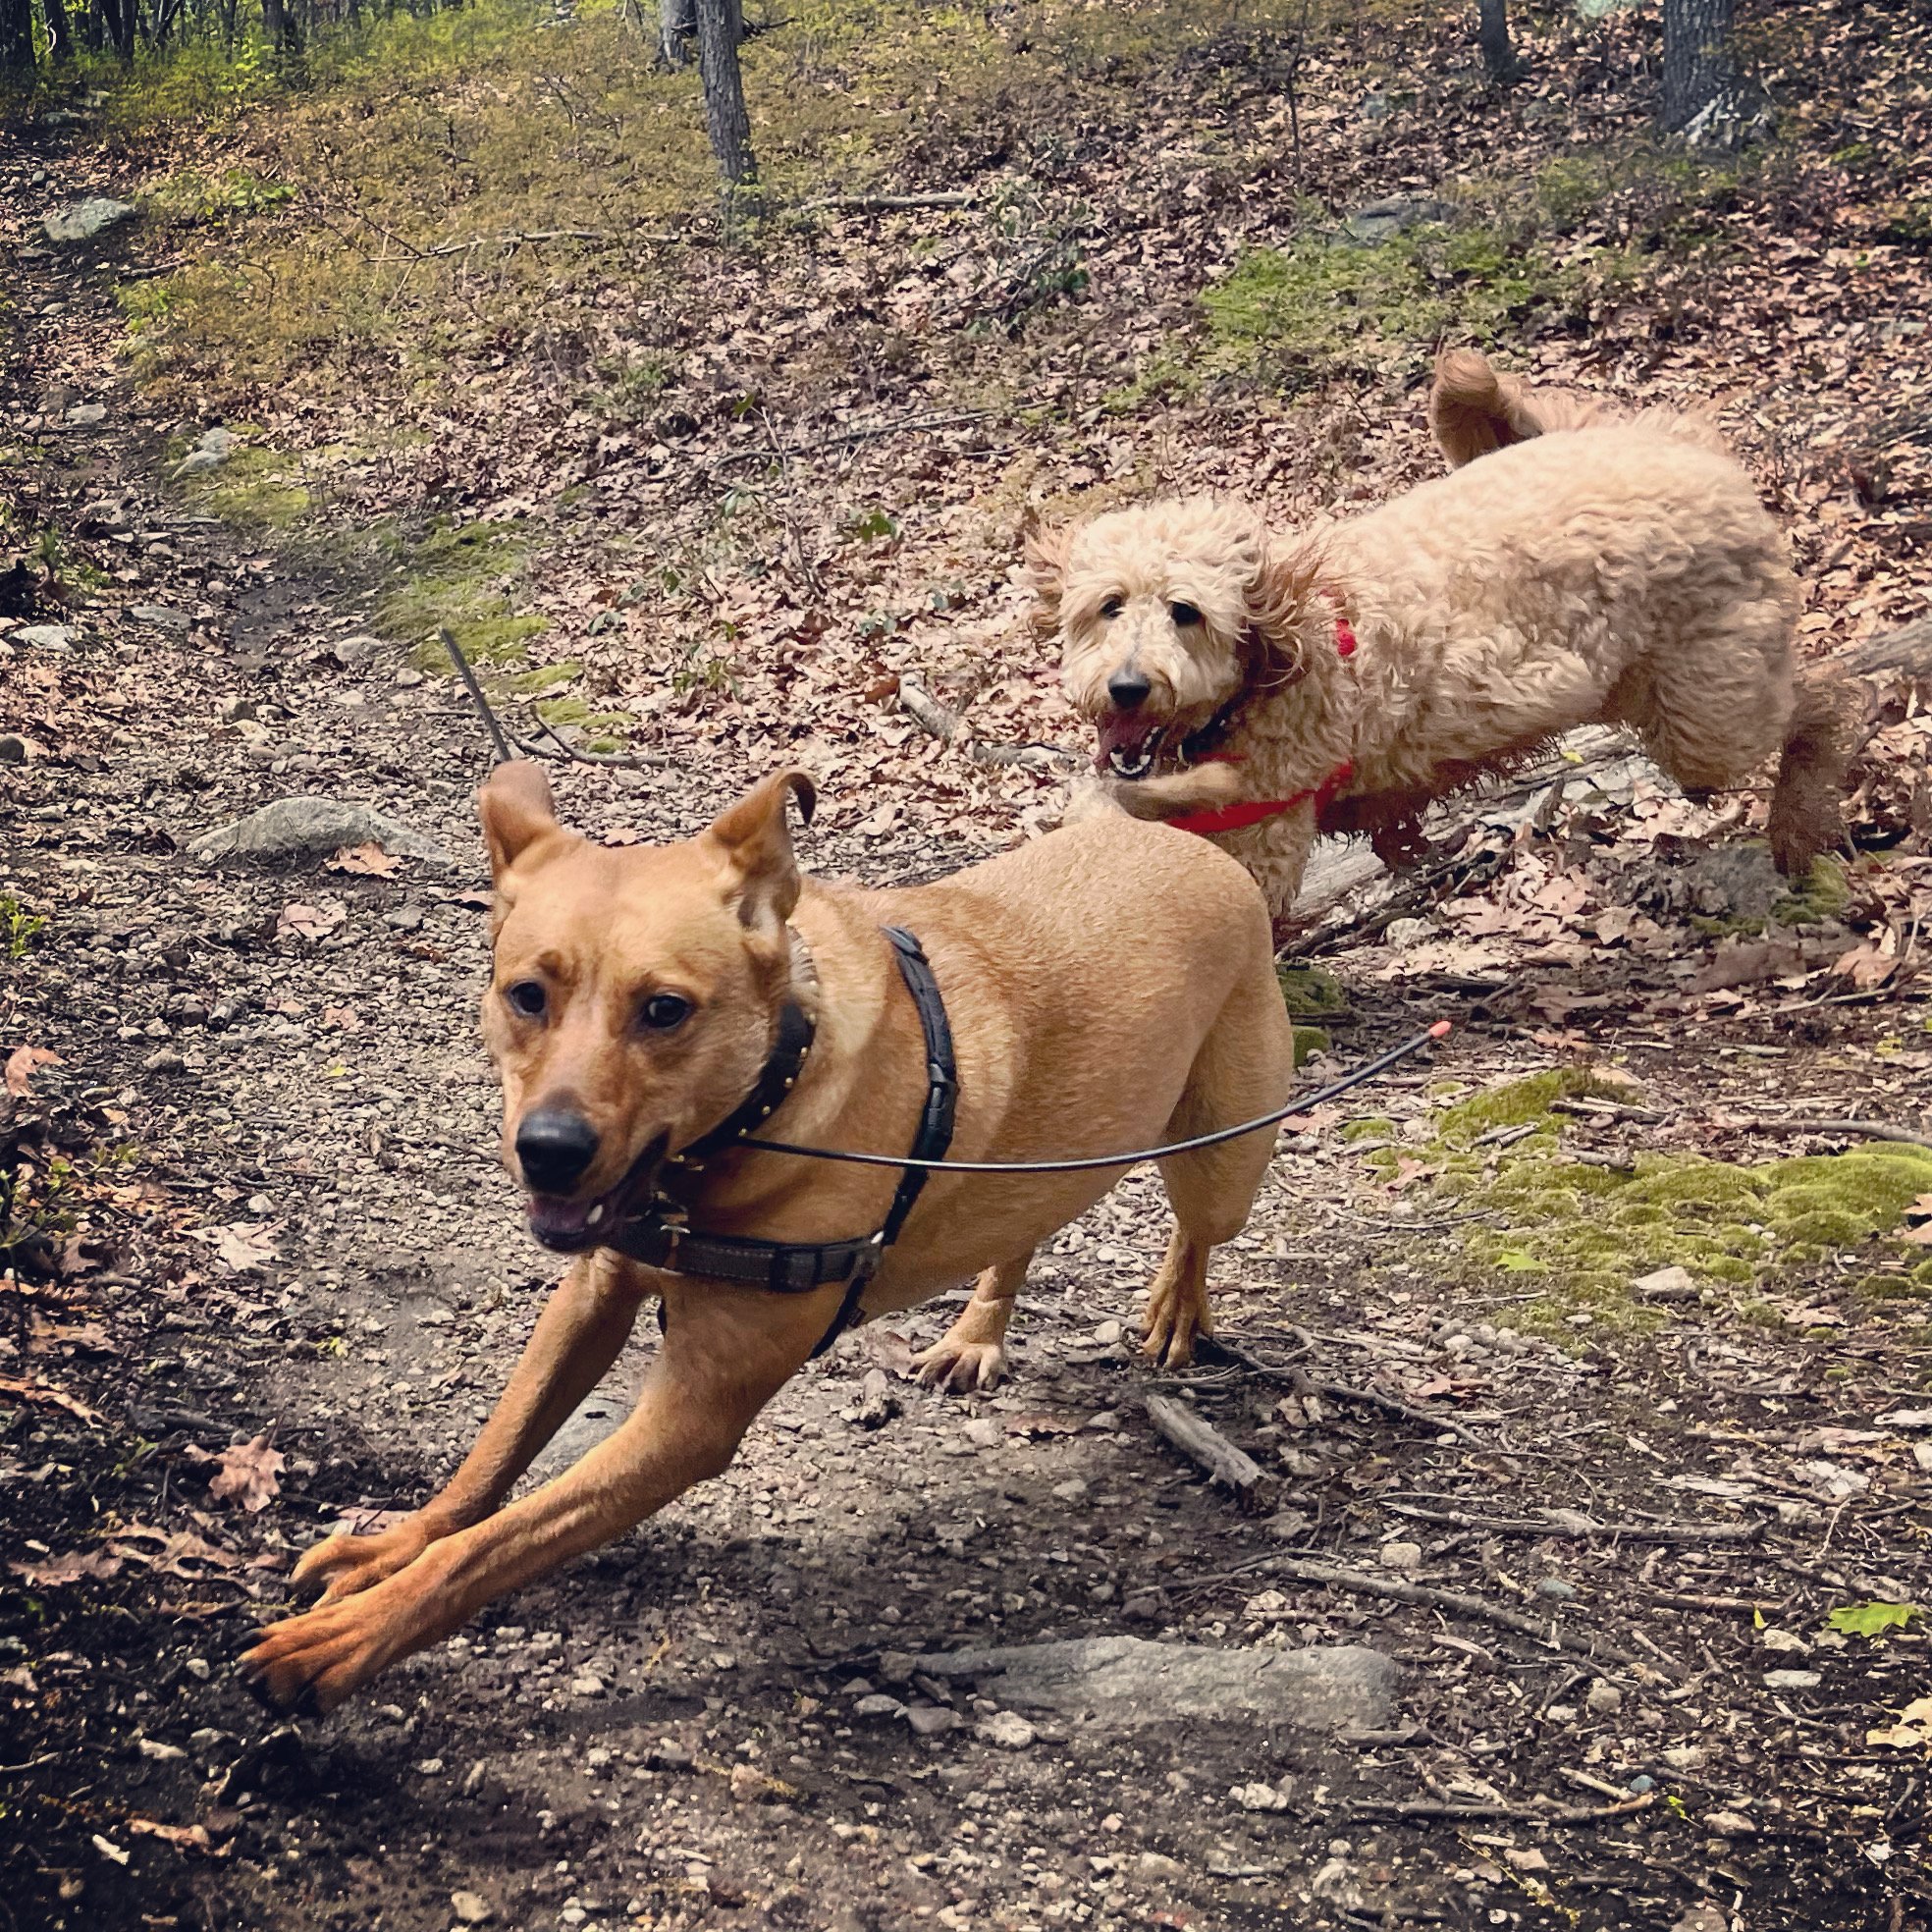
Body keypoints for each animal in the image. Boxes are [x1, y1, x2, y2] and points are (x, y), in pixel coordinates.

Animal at [239, 762, 1293, 1713]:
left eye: (665, 1010)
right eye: (526, 995)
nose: (548, 1151)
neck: (763, 1105)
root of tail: (1188, 848)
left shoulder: (692, 1416)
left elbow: (495, 1545)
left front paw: (351, 1637)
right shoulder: (594, 1293)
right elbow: (491, 1459)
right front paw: (394, 1543)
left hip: (1222, 1162)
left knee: (1199, 1232)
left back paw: (1175, 1307)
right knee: (1021, 1228)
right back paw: (976, 1333)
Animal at [1033, 351, 1842, 925]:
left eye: (1186, 612)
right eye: (1109, 606)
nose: (1128, 687)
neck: (1275, 655)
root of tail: (1697, 456)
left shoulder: (1260, 828)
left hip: (1709, 709)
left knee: (1813, 706)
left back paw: (1813, 791)